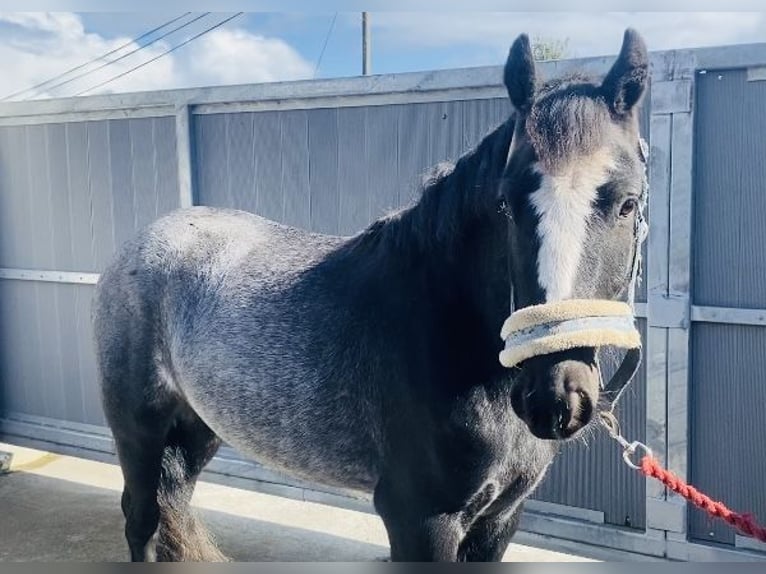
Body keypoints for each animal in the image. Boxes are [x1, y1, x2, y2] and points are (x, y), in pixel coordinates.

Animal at [93, 28, 652, 564]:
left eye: (627, 204)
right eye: (506, 204)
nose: (554, 395)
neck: (447, 332)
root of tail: (141, 242)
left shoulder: (500, 519)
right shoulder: (419, 519)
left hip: (198, 426)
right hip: (139, 430)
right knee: (142, 519)